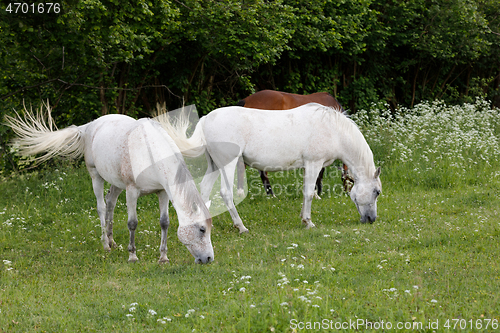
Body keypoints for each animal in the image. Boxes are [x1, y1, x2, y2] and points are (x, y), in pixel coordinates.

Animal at [5, 105, 214, 264]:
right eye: (202, 229)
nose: (209, 258)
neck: (150, 154)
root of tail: (89, 126)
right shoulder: (132, 191)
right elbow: (132, 223)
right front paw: (132, 255)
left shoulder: (162, 192)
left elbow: (164, 222)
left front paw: (163, 257)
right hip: (96, 176)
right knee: (101, 206)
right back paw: (106, 244)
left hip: (117, 183)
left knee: (111, 202)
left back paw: (112, 241)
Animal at [162, 102, 380, 232]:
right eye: (377, 192)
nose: (372, 219)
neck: (332, 129)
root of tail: (206, 118)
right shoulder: (313, 164)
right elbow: (310, 193)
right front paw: (308, 221)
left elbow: (305, 192)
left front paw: (303, 218)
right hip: (228, 164)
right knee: (225, 193)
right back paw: (241, 226)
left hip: (214, 165)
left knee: (204, 189)